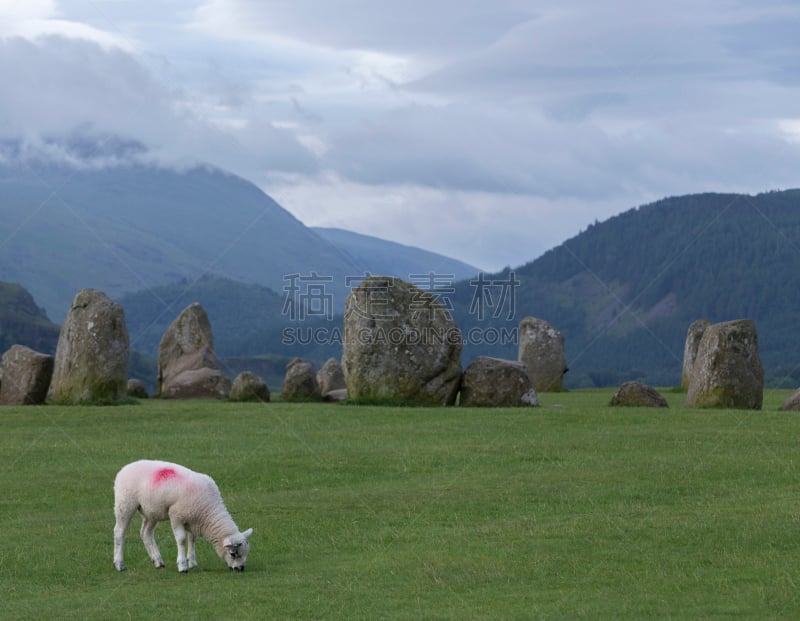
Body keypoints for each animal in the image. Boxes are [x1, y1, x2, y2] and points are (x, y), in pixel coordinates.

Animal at [112, 460, 253, 572]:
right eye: (233, 554)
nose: (240, 569)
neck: (208, 511)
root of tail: (125, 468)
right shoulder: (176, 515)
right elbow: (181, 539)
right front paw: (182, 565)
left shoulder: (193, 519)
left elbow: (192, 539)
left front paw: (192, 562)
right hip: (125, 504)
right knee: (119, 532)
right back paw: (119, 564)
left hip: (152, 511)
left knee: (146, 533)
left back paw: (158, 561)